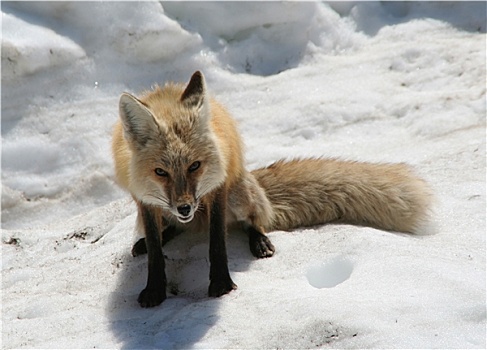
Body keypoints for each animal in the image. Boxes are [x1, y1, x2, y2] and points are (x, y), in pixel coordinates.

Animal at [112, 72, 432, 308]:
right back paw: (151, 240)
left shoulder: (217, 190)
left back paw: (259, 241)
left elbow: (217, 243)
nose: (184, 207)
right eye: (160, 172)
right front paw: (155, 288)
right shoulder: (144, 199)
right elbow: (156, 252)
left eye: (195, 166)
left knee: (255, 221)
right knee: (172, 230)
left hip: (239, 194)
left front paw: (221, 284)